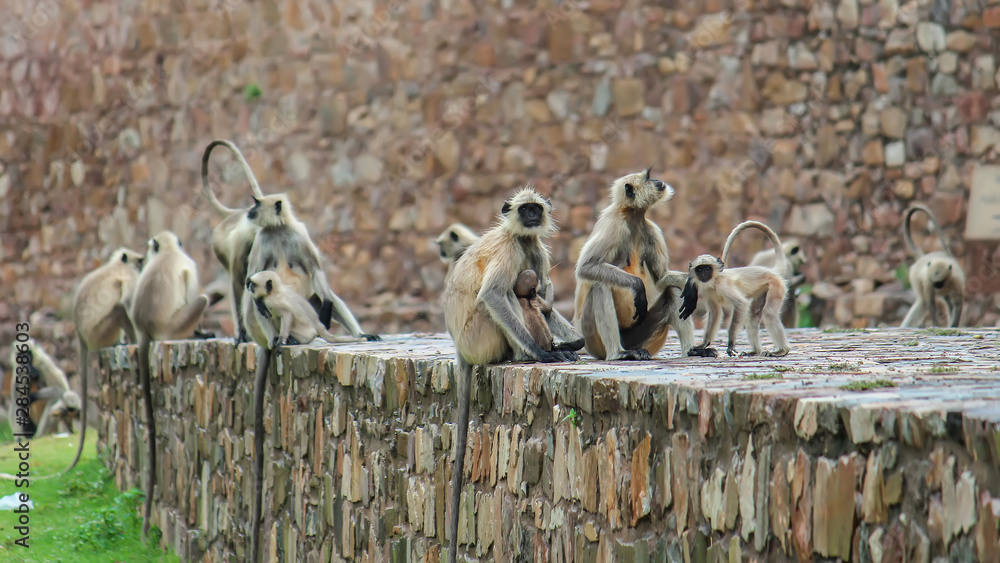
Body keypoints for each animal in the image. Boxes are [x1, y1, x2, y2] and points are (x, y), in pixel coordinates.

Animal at [129, 231, 217, 540]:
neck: (167, 252)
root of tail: (145, 329)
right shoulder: (190, 266)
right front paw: (202, 331)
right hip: (174, 326)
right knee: (200, 298)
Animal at [443, 187, 582, 563]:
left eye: (536, 209)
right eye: (525, 210)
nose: (532, 217)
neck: (520, 237)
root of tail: (459, 346)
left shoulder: (535, 248)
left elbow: (543, 293)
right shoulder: (512, 249)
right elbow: (494, 293)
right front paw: (541, 353)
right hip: (480, 335)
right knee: (505, 293)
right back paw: (523, 353)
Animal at [572, 168, 707, 361]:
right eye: (649, 177)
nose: (658, 180)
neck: (633, 216)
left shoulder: (651, 230)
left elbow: (662, 278)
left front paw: (692, 285)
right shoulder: (614, 225)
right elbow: (587, 267)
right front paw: (637, 285)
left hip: (638, 336)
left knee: (674, 291)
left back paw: (691, 350)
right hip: (592, 341)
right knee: (600, 286)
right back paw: (617, 353)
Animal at [680, 221, 791, 358]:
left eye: (708, 268)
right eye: (699, 269)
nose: (704, 275)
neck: (714, 280)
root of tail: (772, 271)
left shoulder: (723, 284)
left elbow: (740, 304)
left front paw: (731, 344)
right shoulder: (706, 290)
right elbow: (715, 312)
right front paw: (704, 344)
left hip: (776, 287)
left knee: (769, 313)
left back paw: (783, 350)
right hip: (763, 290)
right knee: (753, 315)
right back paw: (756, 351)